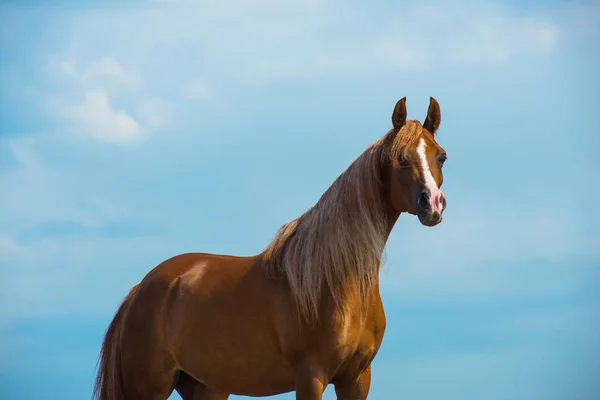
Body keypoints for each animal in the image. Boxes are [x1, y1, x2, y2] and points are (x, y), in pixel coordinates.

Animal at [94, 97, 448, 400]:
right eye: (399, 159)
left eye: (441, 156)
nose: (432, 204)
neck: (336, 282)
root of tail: (140, 290)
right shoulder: (311, 377)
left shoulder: (357, 379)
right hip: (148, 388)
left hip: (206, 387)